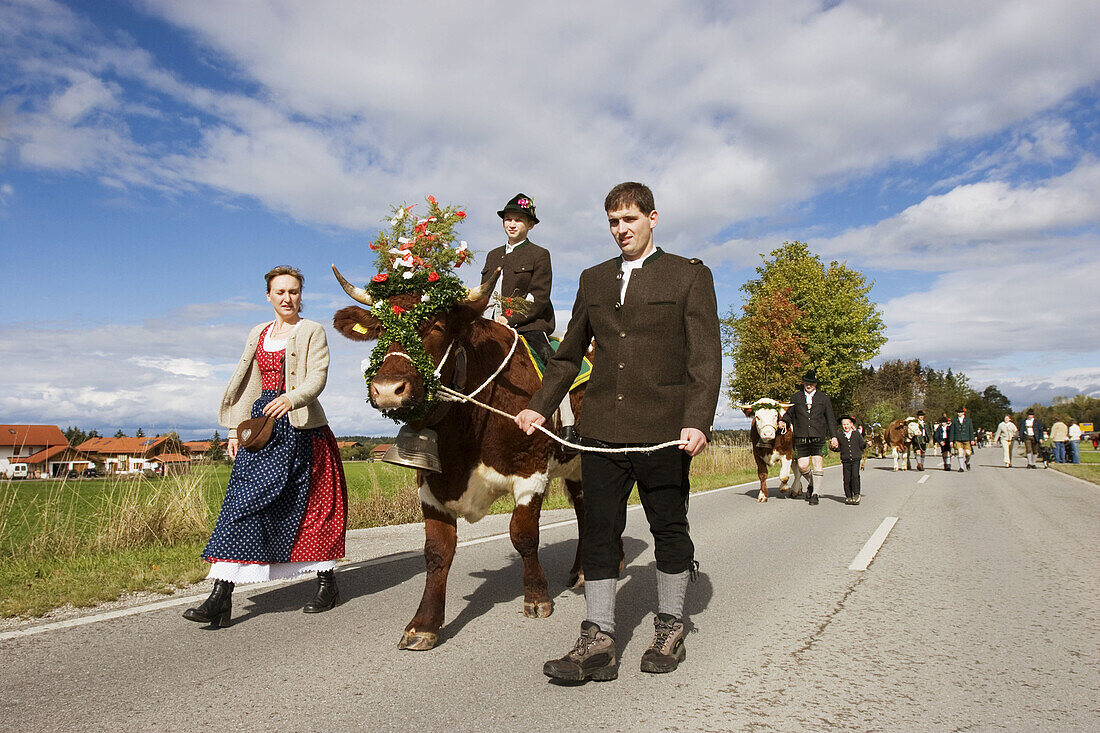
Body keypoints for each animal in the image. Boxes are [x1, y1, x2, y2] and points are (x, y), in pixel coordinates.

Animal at [330, 265, 585, 647]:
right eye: (381, 330)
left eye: (436, 325)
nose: (388, 390)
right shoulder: (431, 482)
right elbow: (438, 551)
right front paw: (424, 623)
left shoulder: (531, 469)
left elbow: (523, 535)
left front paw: (537, 597)